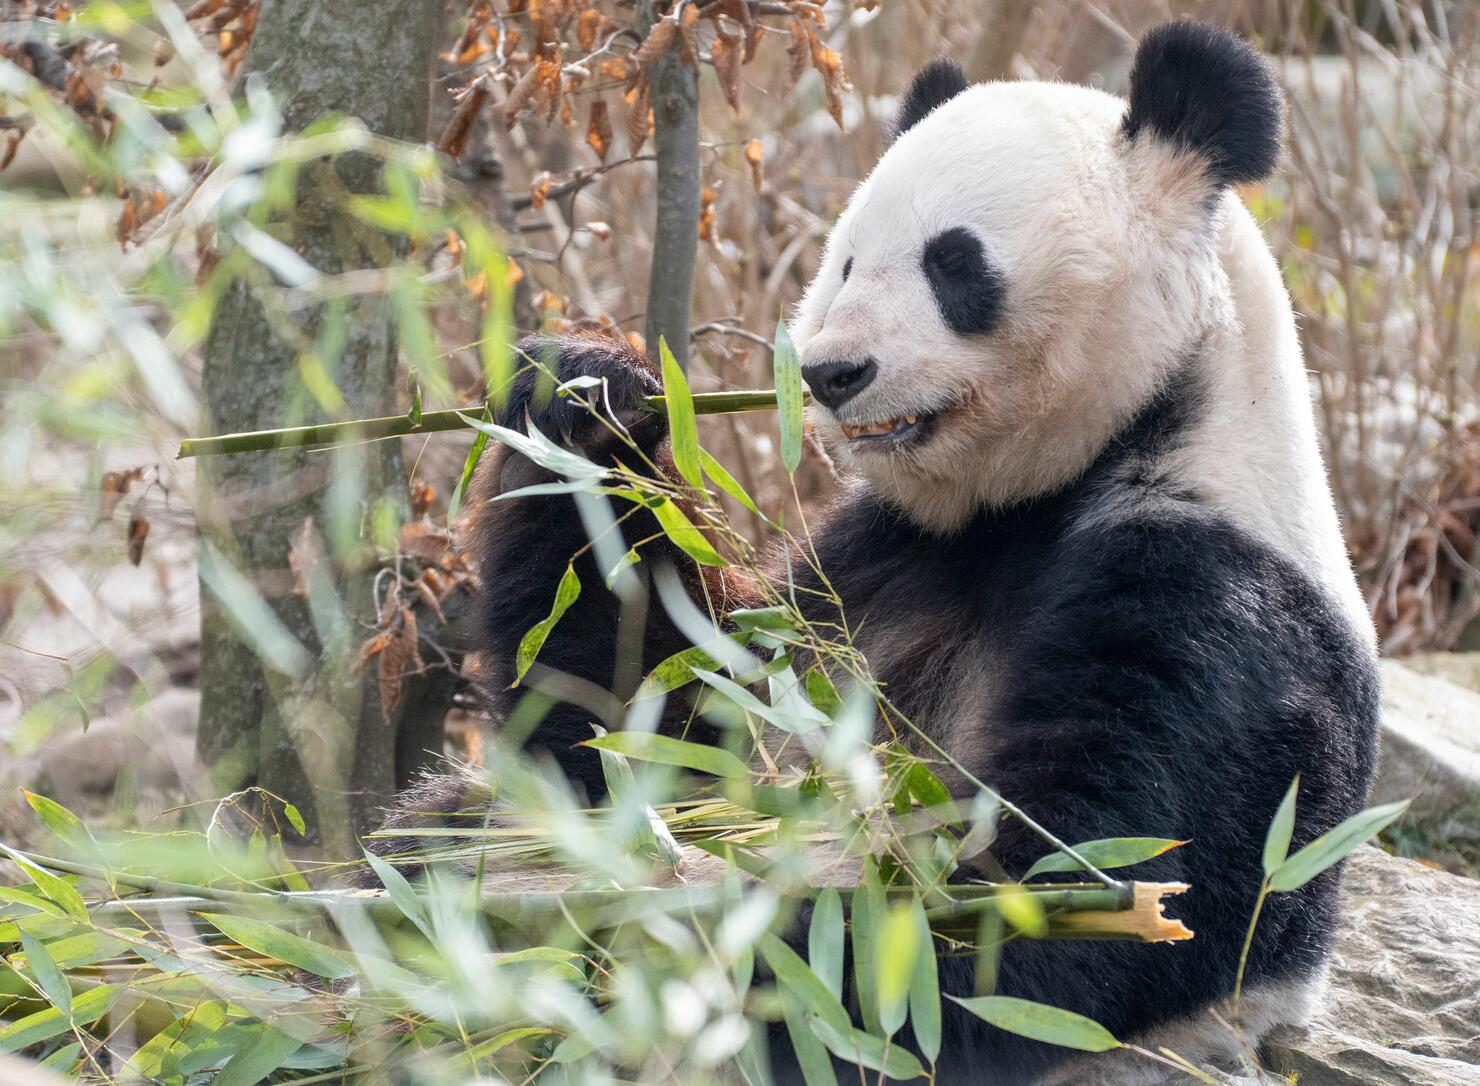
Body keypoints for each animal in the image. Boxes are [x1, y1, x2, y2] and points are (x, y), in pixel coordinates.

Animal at [375, 19, 1379, 1086]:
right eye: (849, 261)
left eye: (955, 263)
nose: (831, 371)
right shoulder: (882, 560)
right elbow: (654, 720)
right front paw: (588, 393)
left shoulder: (1211, 596)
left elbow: (1068, 893)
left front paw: (656, 969)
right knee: (449, 821)